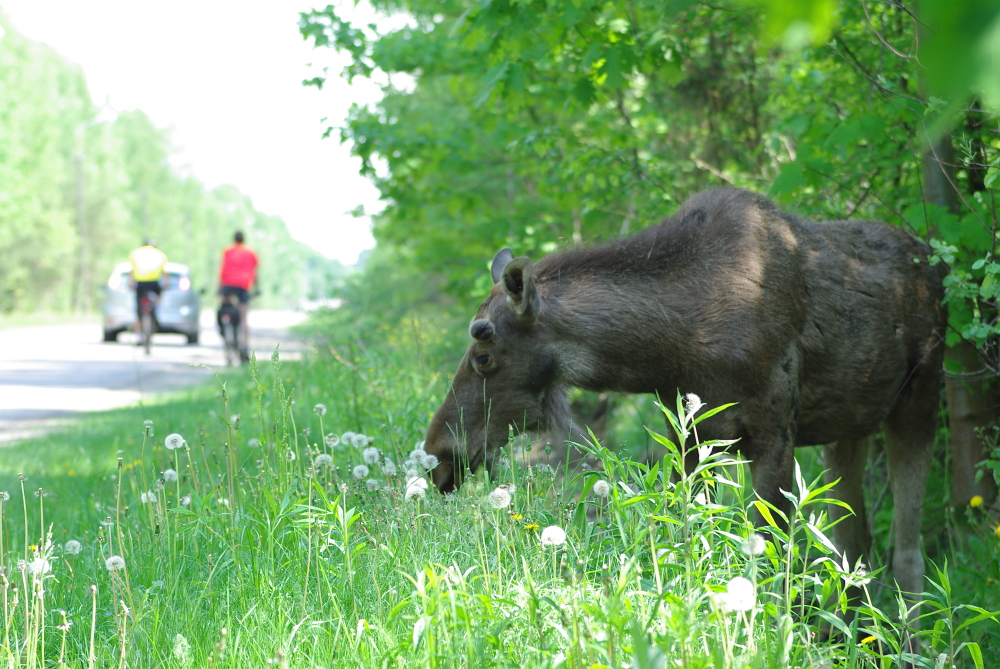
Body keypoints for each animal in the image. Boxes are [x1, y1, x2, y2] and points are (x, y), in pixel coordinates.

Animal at [422, 187, 944, 612]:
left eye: (483, 356)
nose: (438, 453)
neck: (671, 346)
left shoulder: (775, 433)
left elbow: (770, 566)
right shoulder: (691, 437)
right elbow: (688, 544)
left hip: (919, 400)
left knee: (908, 555)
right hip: (847, 430)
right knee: (854, 550)